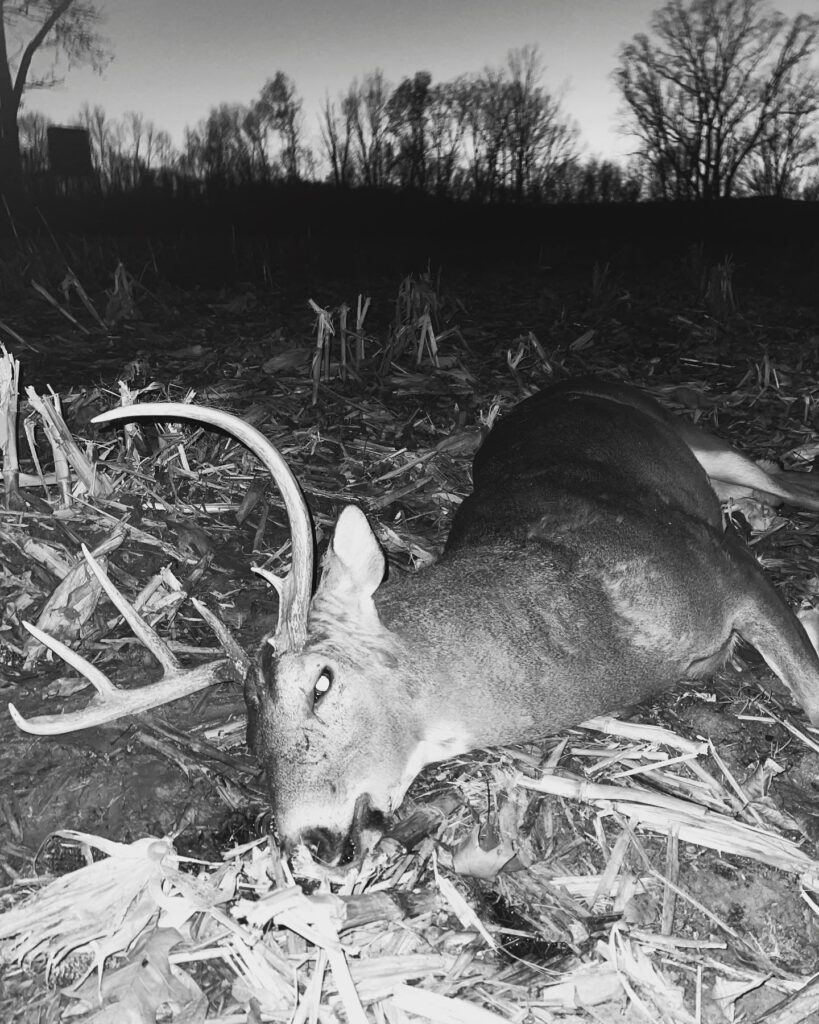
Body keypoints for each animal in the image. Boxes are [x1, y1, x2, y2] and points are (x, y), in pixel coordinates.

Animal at [9, 377, 819, 865]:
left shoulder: (726, 566)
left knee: (786, 479)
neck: (601, 626)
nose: (309, 839)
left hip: (708, 446)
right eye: (249, 738)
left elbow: (806, 684)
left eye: (322, 682)